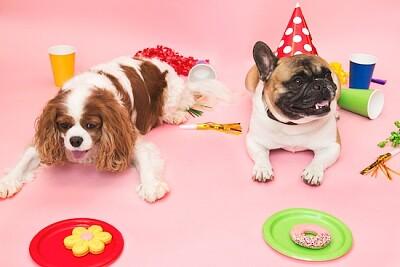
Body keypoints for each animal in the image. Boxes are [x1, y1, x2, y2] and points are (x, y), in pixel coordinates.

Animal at [0, 57, 228, 203]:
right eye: (64, 125)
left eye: (91, 125)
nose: (75, 140)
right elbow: (25, 158)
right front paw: (8, 181)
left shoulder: (128, 136)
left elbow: (146, 161)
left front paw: (151, 186)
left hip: (171, 95)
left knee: (180, 104)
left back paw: (175, 115)